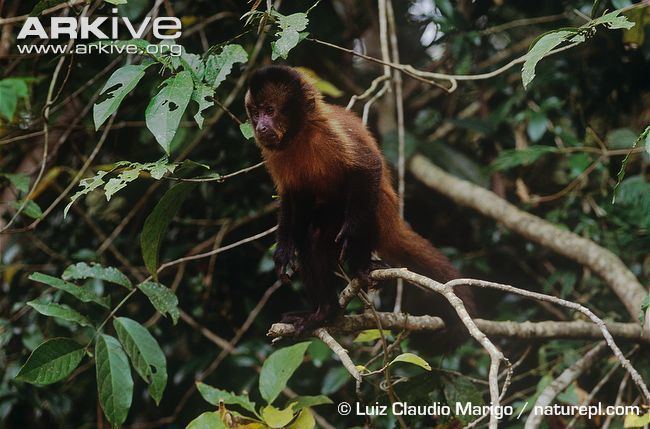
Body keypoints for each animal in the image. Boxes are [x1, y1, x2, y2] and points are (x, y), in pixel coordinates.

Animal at [246, 65, 474, 348]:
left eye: (270, 110)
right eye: (256, 113)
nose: (260, 126)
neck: (299, 135)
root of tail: (394, 223)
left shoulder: (330, 132)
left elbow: (367, 167)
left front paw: (353, 234)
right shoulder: (274, 154)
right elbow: (290, 197)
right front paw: (283, 252)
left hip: (381, 217)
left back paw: (362, 267)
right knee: (308, 232)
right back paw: (324, 312)